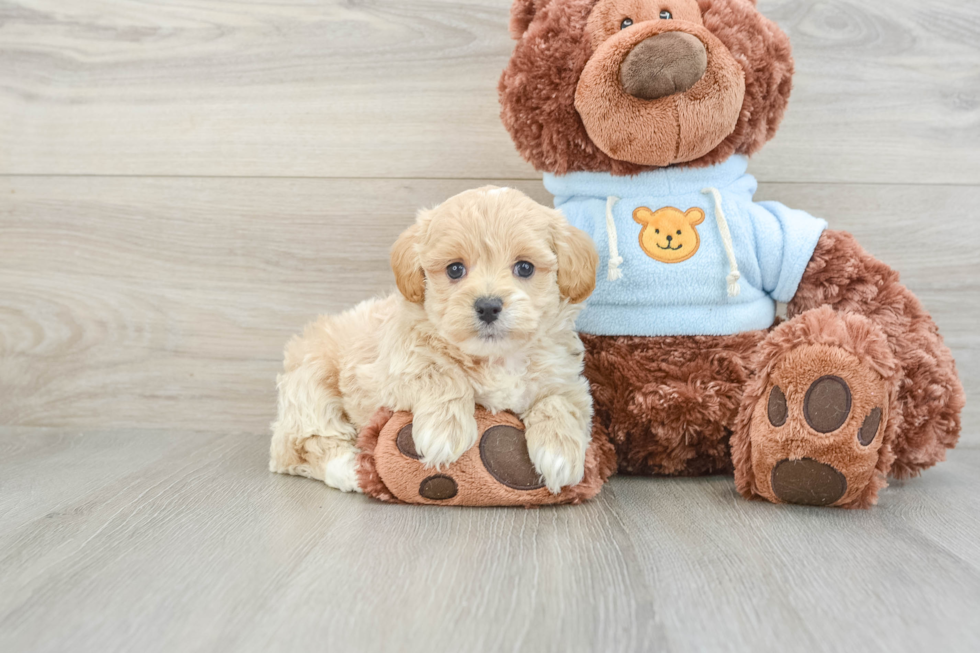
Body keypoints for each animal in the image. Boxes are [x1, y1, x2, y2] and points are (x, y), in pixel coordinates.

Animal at [272, 188, 600, 494]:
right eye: (455, 269)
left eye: (525, 267)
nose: (488, 306)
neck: (495, 358)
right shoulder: (386, 373)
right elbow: (440, 373)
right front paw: (444, 431)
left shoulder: (566, 379)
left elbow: (560, 402)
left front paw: (560, 453)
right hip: (311, 382)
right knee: (303, 444)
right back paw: (352, 469)